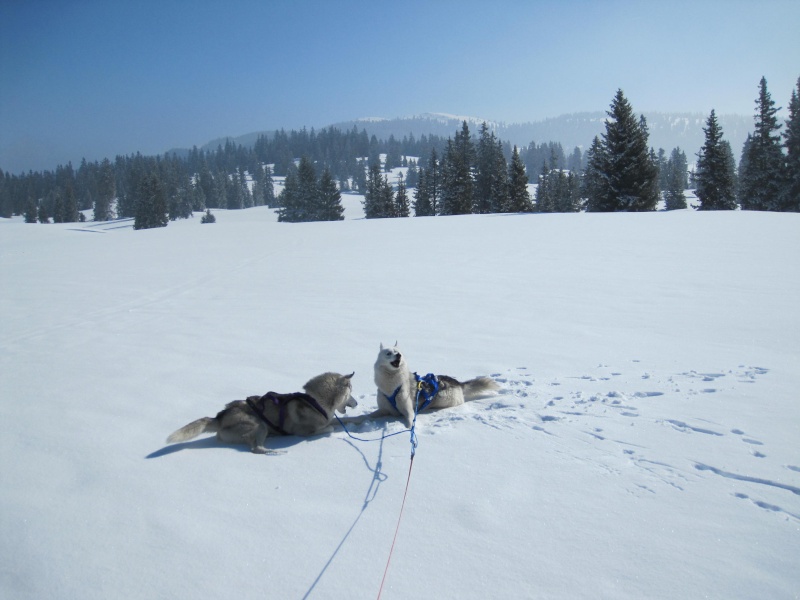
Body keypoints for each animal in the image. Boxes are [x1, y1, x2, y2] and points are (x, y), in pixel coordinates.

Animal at [166, 370, 356, 454]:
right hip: (259, 424)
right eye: (351, 392)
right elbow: (330, 427)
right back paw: (274, 451)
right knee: (255, 448)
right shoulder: (305, 432)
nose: (357, 403)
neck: (316, 401)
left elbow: (342, 421)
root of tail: (220, 416)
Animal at [356, 344, 500, 428]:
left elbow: (410, 423)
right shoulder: (384, 410)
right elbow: (362, 417)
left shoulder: (408, 411)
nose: (399, 355)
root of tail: (457, 382)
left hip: (444, 399)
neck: (392, 387)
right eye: (388, 353)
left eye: (397, 352)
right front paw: (352, 420)